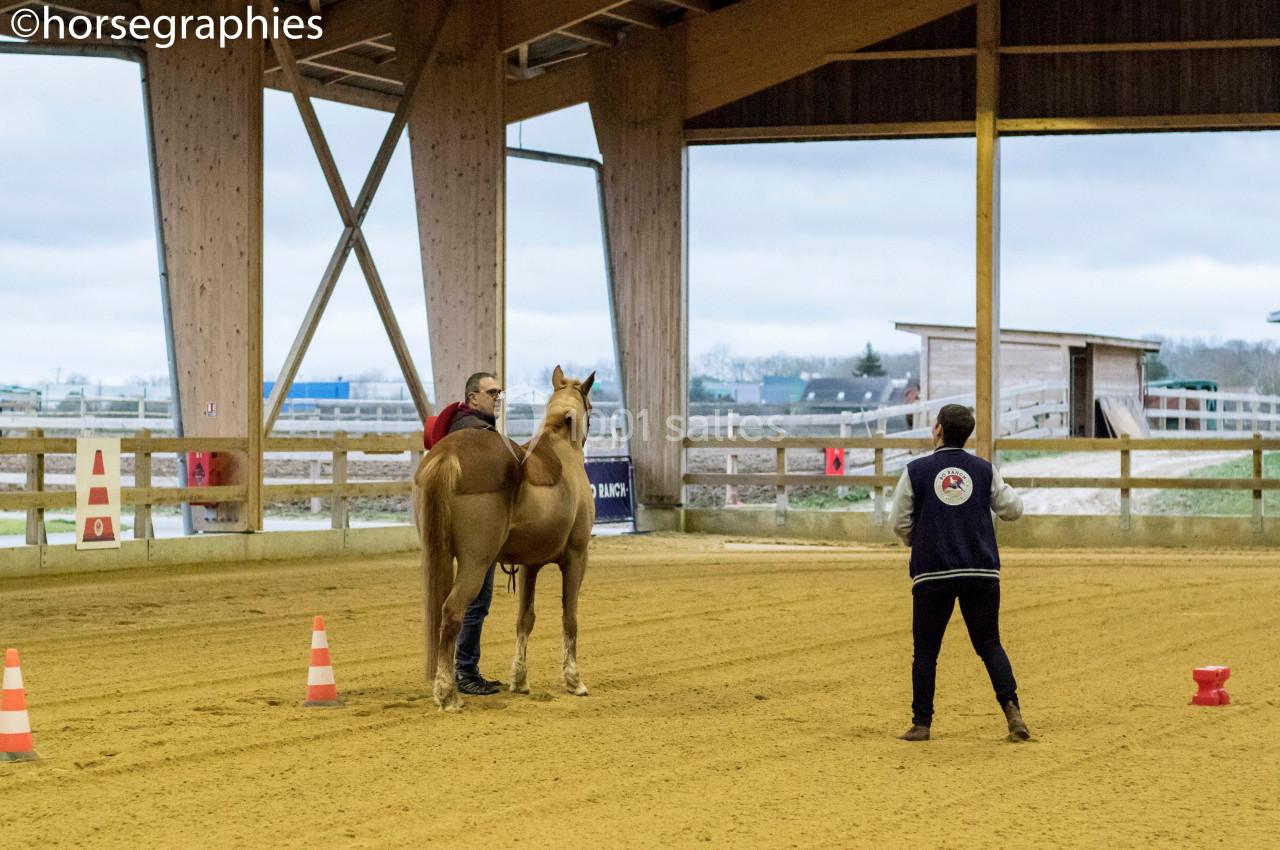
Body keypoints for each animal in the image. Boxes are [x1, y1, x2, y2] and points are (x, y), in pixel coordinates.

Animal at [412, 366, 596, 711]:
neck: (563, 453)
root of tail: (448, 456)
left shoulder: (529, 565)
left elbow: (525, 618)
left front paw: (520, 680)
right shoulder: (577, 558)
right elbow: (570, 617)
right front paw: (574, 681)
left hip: (437, 554)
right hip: (474, 562)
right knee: (452, 613)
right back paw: (447, 695)